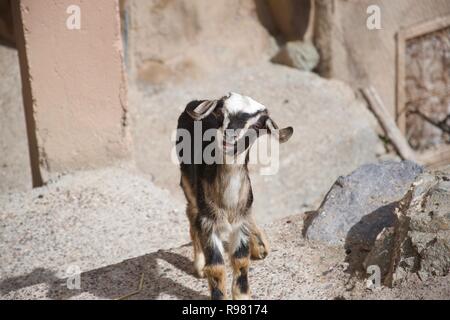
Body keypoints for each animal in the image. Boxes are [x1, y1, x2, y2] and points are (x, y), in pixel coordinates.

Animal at [174, 92, 294, 300]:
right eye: (220, 113)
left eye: (257, 125)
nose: (229, 138)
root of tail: (196, 102)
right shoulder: (208, 222)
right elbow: (216, 266)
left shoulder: (240, 223)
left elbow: (240, 261)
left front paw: (243, 296)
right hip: (188, 181)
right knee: (191, 214)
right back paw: (199, 265)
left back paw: (260, 245)